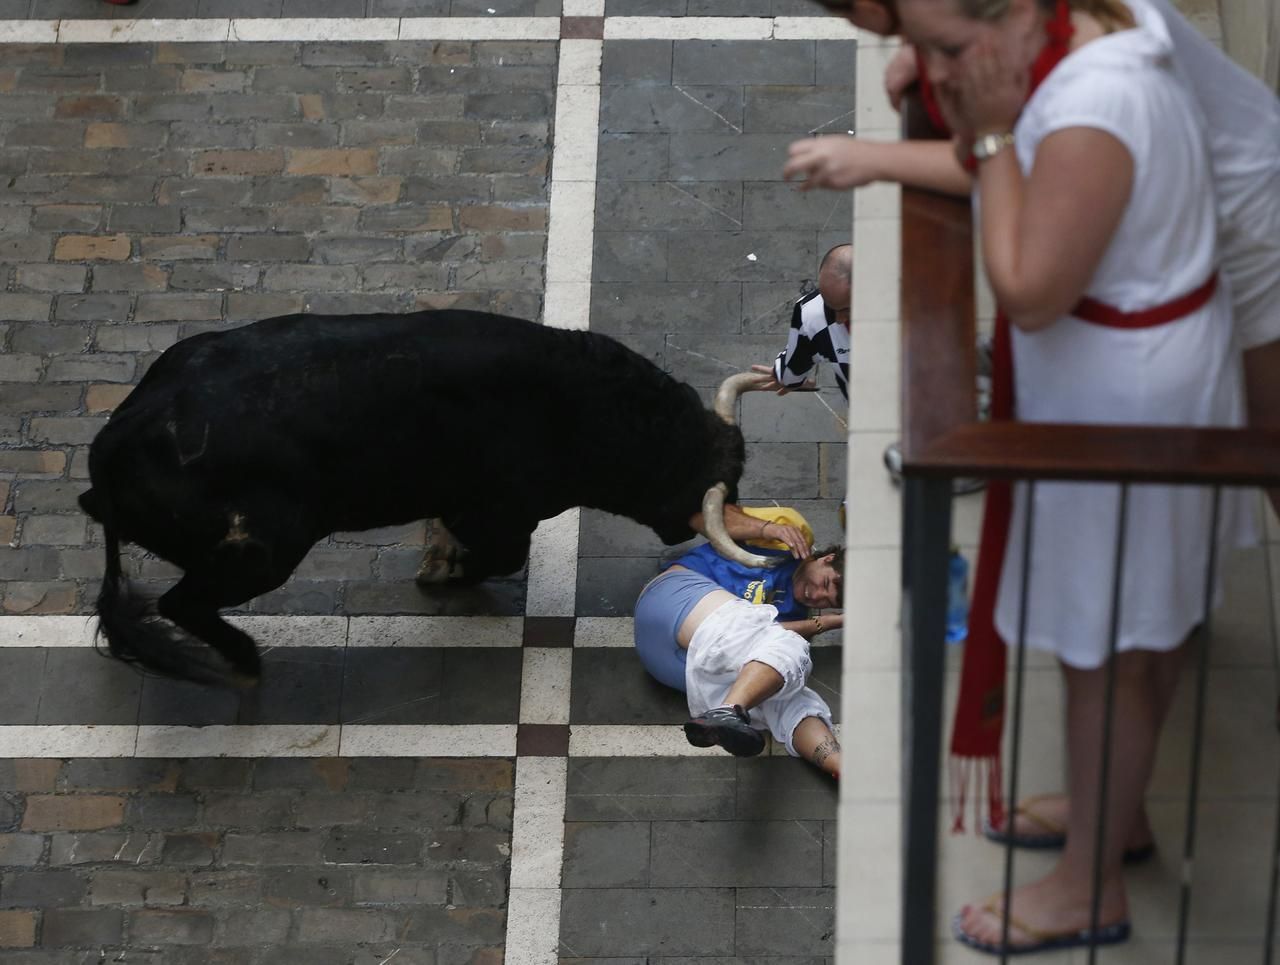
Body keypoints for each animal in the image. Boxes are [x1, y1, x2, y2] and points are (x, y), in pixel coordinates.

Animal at [80, 312, 747, 680]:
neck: (584, 407)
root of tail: (122, 431)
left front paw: (436, 557)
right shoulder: (498, 512)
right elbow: (500, 555)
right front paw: (442, 570)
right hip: (265, 552)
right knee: (182, 603)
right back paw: (246, 659)